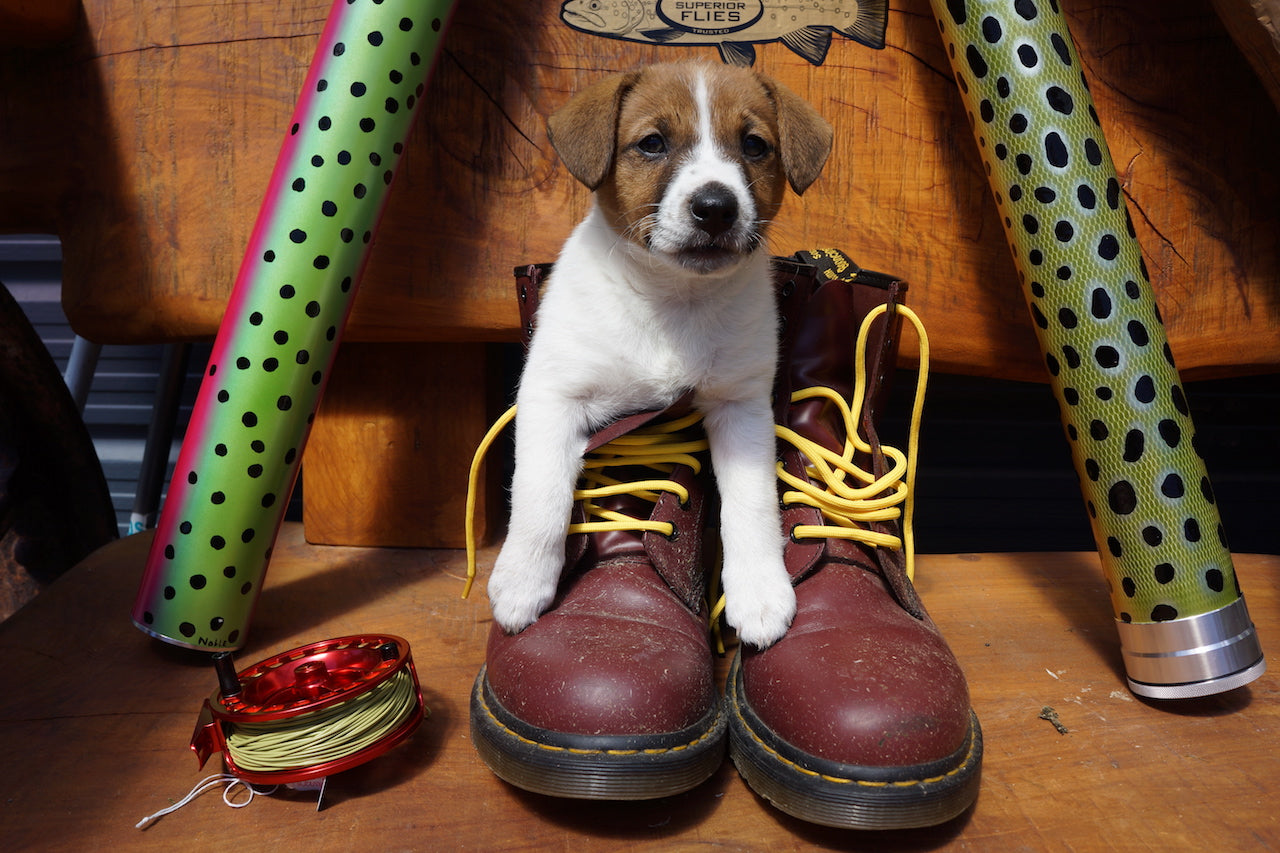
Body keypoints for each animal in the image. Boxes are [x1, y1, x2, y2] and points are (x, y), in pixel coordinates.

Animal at [486, 63, 829, 648]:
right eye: (652, 143)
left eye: (754, 145)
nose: (715, 208)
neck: (674, 301)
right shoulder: (552, 395)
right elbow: (540, 494)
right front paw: (522, 580)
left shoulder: (741, 407)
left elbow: (752, 503)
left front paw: (761, 589)